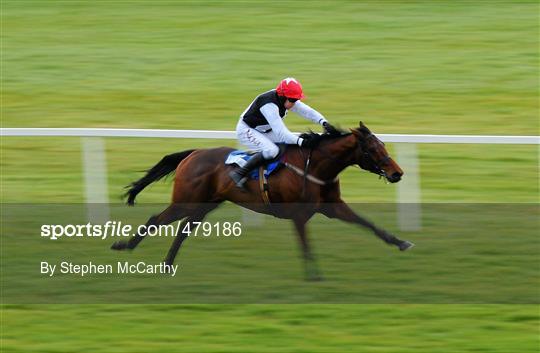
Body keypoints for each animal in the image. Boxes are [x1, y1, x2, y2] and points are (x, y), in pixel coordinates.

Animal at [110, 122, 414, 280]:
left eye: (383, 145)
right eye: (373, 149)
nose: (397, 173)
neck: (315, 166)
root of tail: (193, 153)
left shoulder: (333, 207)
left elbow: (369, 224)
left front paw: (401, 242)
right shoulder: (299, 215)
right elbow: (306, 245)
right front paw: (314, 276)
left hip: (206, 204)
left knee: (183, 230)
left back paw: (167, 264)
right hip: (187, 200)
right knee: (156, 220)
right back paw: (125, 245)